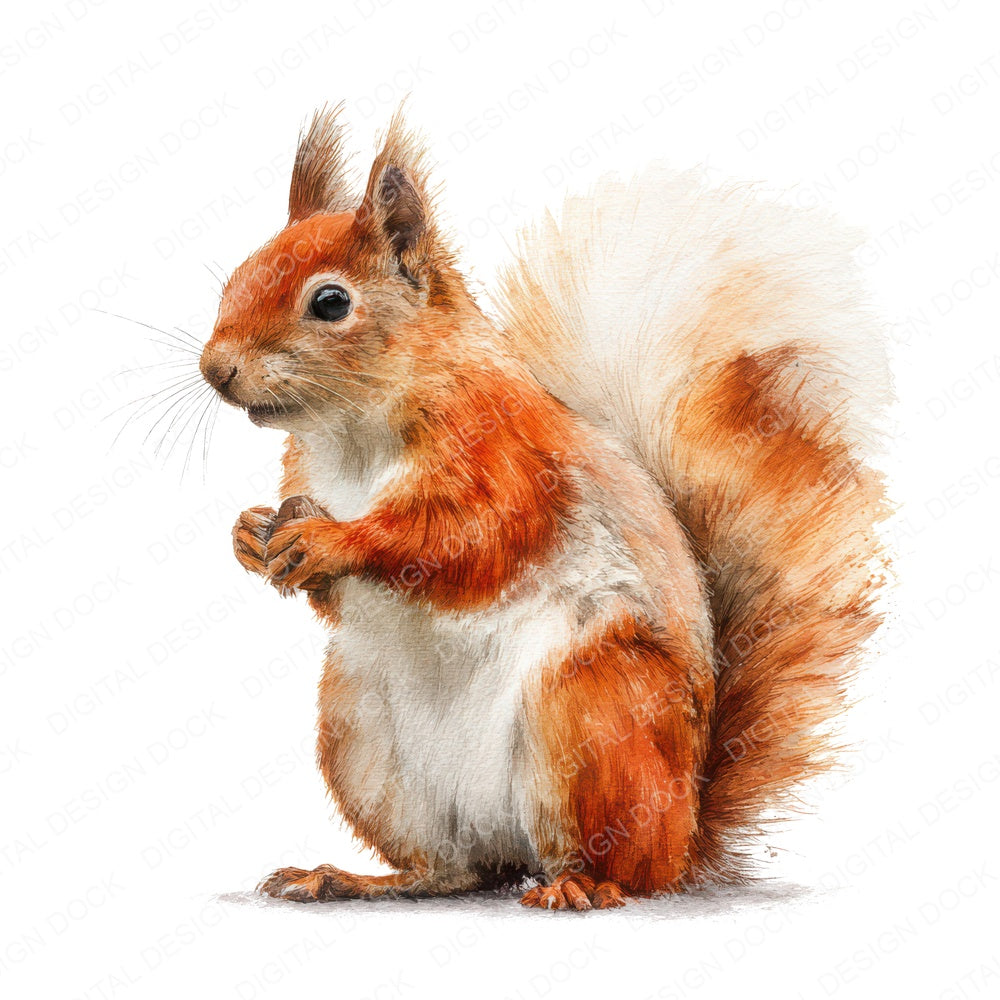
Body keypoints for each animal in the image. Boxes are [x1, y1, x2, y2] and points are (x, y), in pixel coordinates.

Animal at [198, 107, 888, 911]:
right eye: (236, 276)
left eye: (331, 302)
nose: (216, 369)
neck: (352, 433)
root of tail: (686, 834)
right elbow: (332, 596)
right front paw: (249, 535)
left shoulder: (508, 460)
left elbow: (466, 541)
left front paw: (334, 540)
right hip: (362, 734)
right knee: (455, 870)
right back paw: (349, 878)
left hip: (591, 710)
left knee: (623, 873)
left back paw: (579, 885)